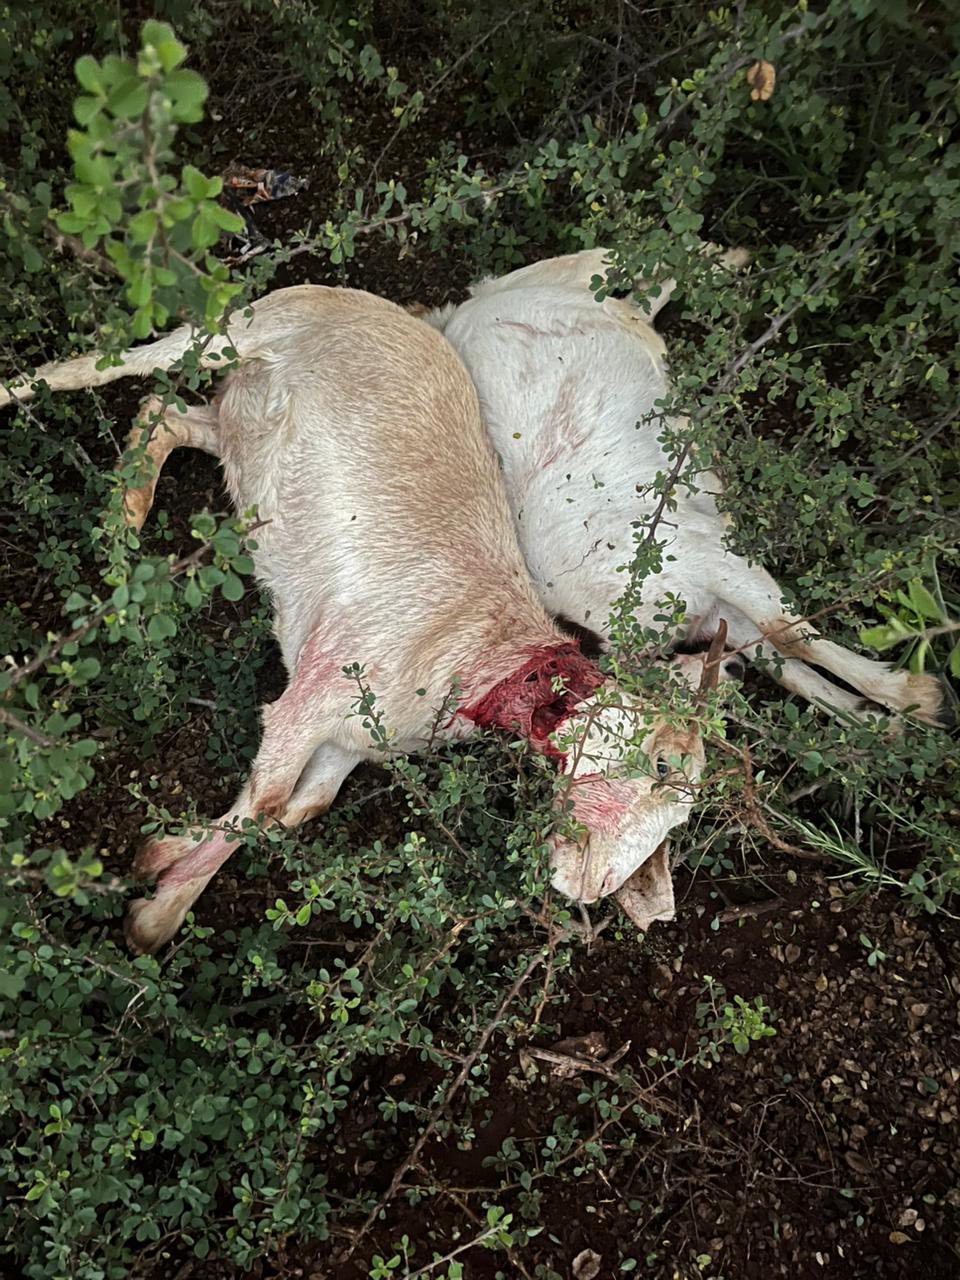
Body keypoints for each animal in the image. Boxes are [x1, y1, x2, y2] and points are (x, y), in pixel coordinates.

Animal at [1, 286, 727, 952]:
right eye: (663, 765)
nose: (602, 891)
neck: (481, 653)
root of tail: (383, 305)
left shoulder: (345, 744)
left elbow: (293, 810)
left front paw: (158, 859)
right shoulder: (315, 695)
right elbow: (268, 800)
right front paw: (156, 919)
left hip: (240, 425)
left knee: (168, 411)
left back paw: (126, 511)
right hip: (248, 325)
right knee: (114, 365)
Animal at [425, 249, 950, 728]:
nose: (732, 675)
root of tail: (465, 313)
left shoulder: (712, 554)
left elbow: (787, 634)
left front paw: (918, 697)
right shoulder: (715, 606)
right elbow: (780, 659)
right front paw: (874, 718)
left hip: (563, 290)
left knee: (614, 270)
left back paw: (726, 260)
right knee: (637, 296)